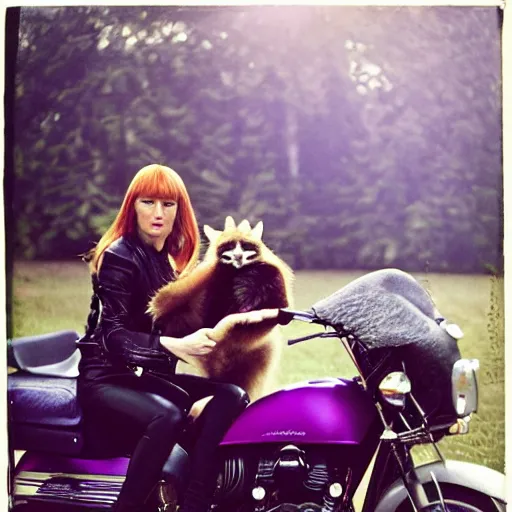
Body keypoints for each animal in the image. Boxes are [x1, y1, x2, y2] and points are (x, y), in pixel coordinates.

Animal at [147, 215, 292, 400]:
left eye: (245, 246)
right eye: (229, 247)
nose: (238, 256)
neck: (236, 273)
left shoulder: (275, 287)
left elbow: (275, 296)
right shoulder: (211, 291)